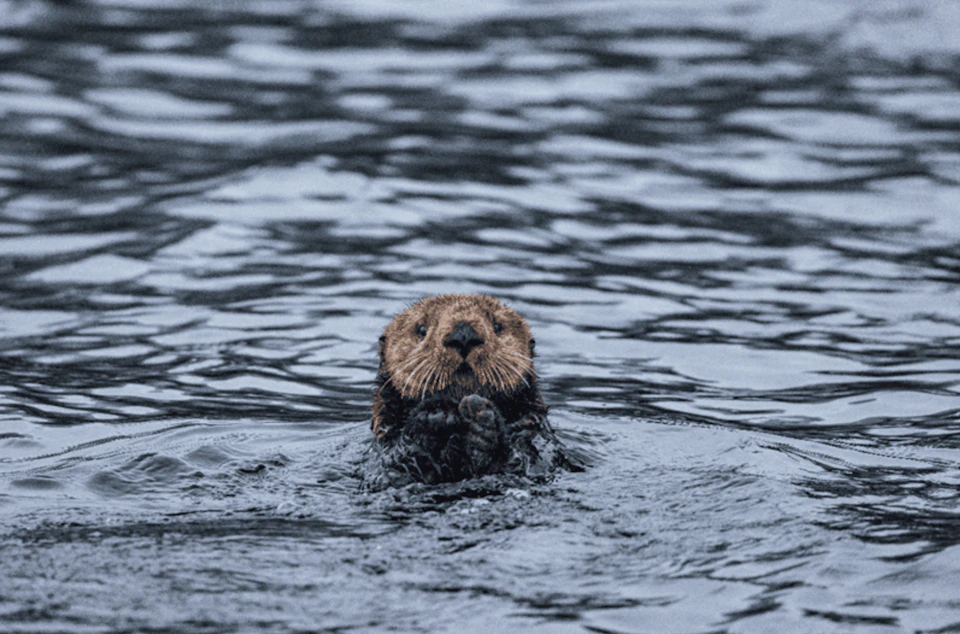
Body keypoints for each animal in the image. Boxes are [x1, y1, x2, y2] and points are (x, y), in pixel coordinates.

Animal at [363, 294, 566, 489]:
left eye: (497, 326)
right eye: (421, 329)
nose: (463, 335)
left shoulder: (536, 440)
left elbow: (522, 460)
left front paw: (481, 422)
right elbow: (394, 468)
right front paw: (436, 414)